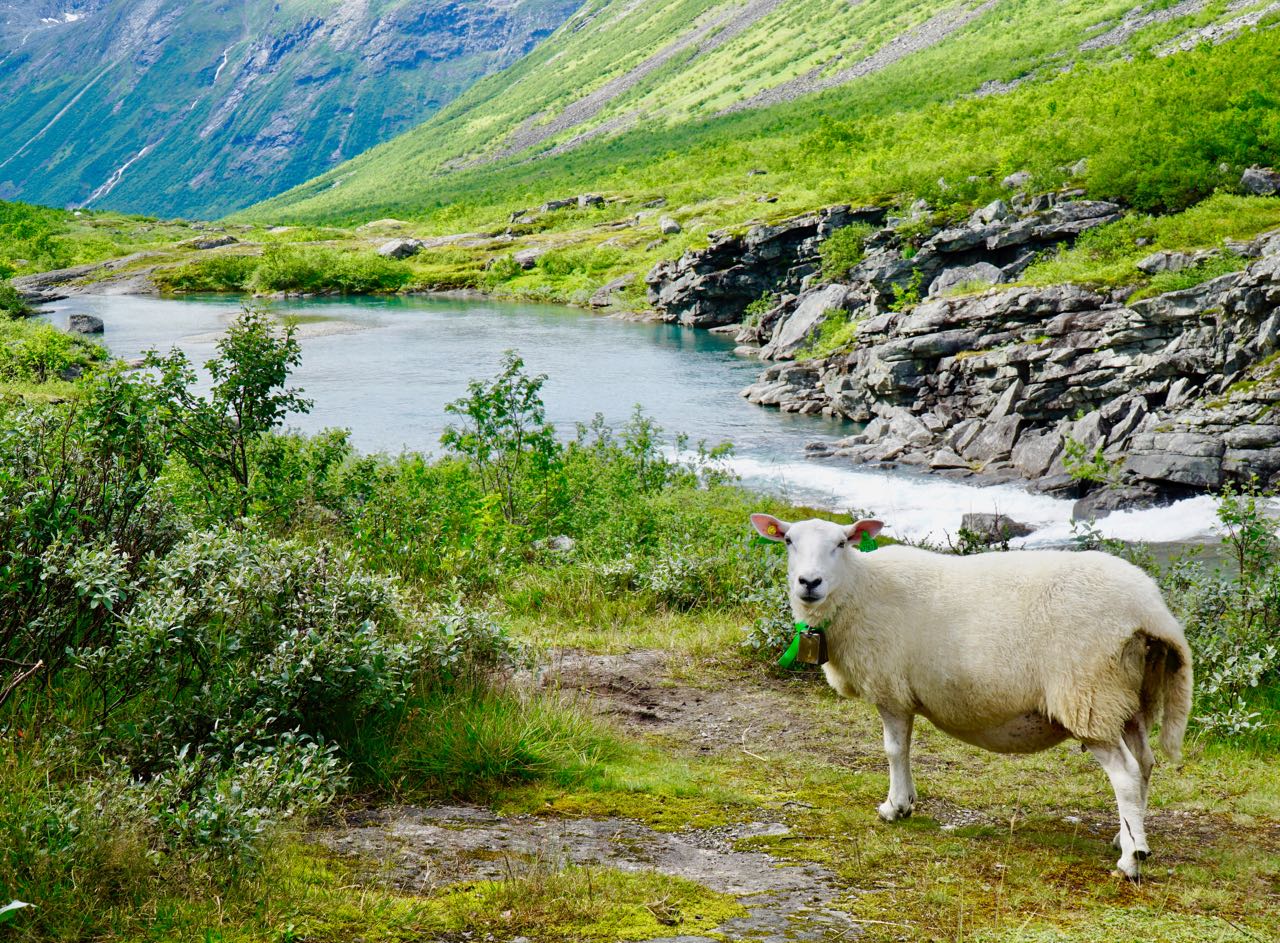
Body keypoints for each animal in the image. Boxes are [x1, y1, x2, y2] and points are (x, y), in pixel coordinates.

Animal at [747, 511, 1192, 880]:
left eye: (841, 543)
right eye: (788, 541)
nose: (809, 583)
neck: (860, 589)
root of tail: (1148, 609)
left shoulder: (890, 689)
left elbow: (893, 750)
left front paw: (894, 807)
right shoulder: (903, 694)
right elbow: (905, 749)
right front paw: (907, 801)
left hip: (1089, 694)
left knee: (1126, 775)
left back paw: (1130, 861)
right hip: (1128, 694)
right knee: (1145, 763)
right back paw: (1130, 838)